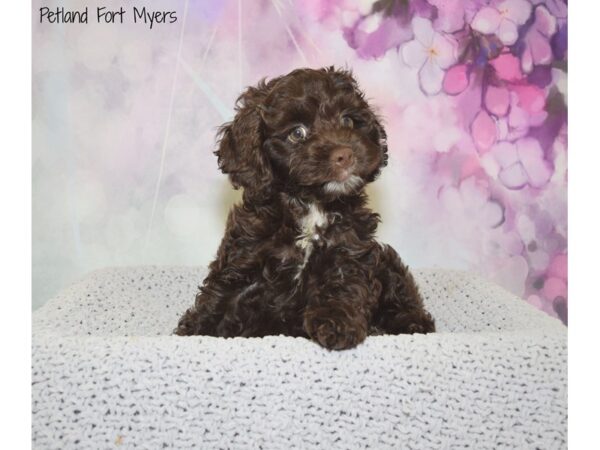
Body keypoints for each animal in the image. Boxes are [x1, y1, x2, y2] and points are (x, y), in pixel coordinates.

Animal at [176, 67, 434, 350]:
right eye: (297, 133)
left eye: (348, 121)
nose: (345, 154)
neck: (311, 203)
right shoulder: (244, 257)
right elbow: (219, 298)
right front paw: (192, 333)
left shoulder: (349, 251)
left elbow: (342, 288)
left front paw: (337, 326)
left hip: (386, 263)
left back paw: (411, 323)